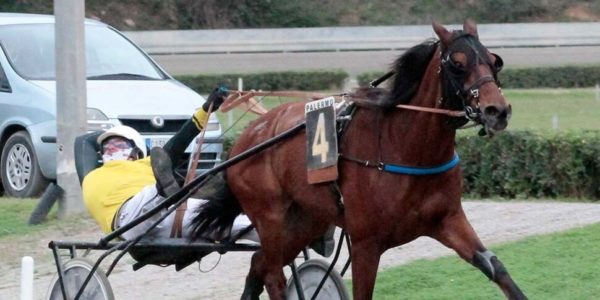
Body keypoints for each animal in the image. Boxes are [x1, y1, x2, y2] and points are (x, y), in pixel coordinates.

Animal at [193, 19, 524, 298]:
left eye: (494, 60)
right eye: (457, 63)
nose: (497, 110)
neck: (407, 148)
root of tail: (247, 139)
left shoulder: (448, 220)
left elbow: (496, 268)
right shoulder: (367, 244)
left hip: (306, 219)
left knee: (259, 264)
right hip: (270, 217)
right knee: (273, 274)